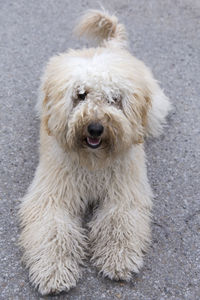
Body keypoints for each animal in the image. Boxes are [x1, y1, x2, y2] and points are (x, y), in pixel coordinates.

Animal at [18, 9, 171, 296]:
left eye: (114, 99)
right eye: (81, 94)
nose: (96, 128)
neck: (93, 164)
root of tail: (110, 47)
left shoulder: (124, 192)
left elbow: (119, 222)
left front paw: (118, 258)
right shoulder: (52, 195)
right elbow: (53, 230)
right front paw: (54, 271)